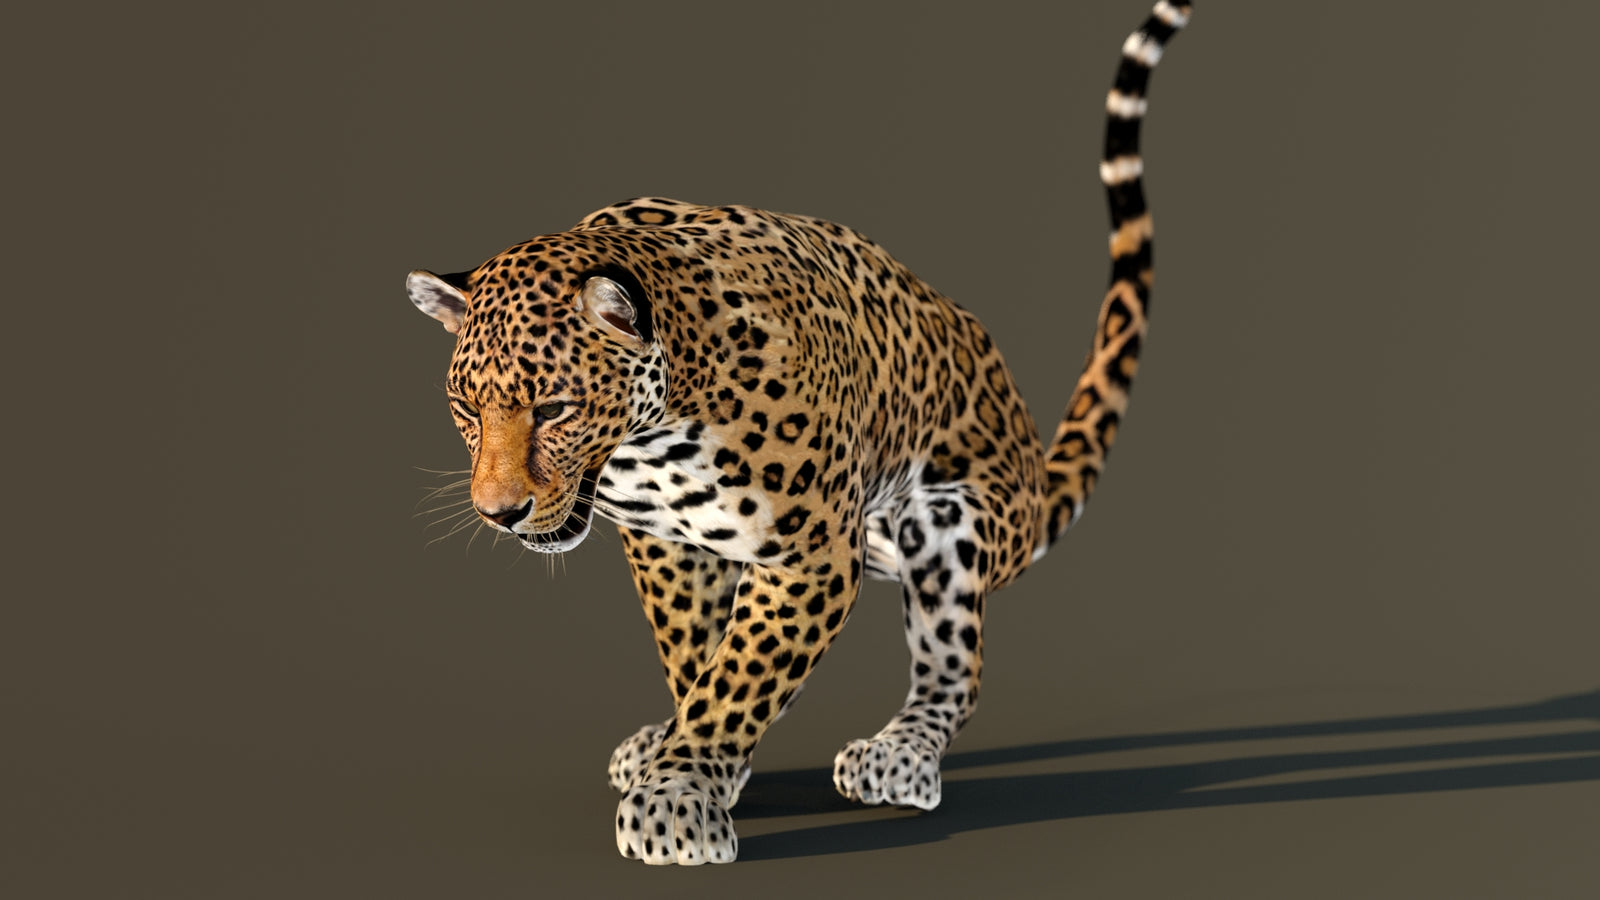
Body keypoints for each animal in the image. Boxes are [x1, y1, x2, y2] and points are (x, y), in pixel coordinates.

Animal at [406, 1, 1190, 865]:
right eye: (467, 410)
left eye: (554, 409)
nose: (498, 513)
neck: (655, 435)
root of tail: (1029, 465)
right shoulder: (667, 543)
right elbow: (697, 657)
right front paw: (696, 760)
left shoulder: (811, 552)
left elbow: (742, 672)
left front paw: (677, 799)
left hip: (946, 519)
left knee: (956, 665)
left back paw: (900, 755)